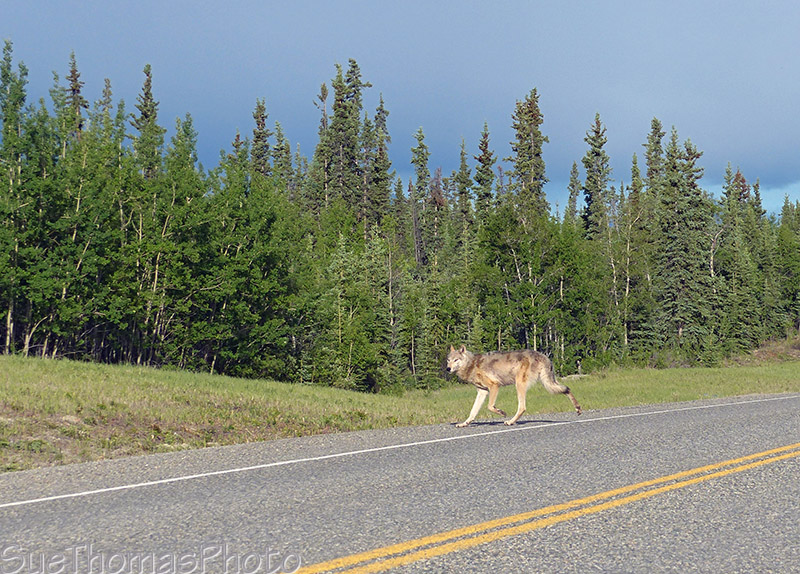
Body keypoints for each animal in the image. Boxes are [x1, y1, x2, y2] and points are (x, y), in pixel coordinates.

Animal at [446, 345, 582, 427]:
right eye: (448, 360)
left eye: (456, 360)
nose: (448, 369)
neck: (471, 365)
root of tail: (543, 356)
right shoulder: (482, 392)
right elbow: (473, 412)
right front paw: (464, 423)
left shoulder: (494, 386)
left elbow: (490, 406)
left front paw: (502, 413)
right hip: (548, 384)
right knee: (567, 389)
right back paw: (578, 408)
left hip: (520, 385)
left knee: (522, 407)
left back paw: (510, 421)